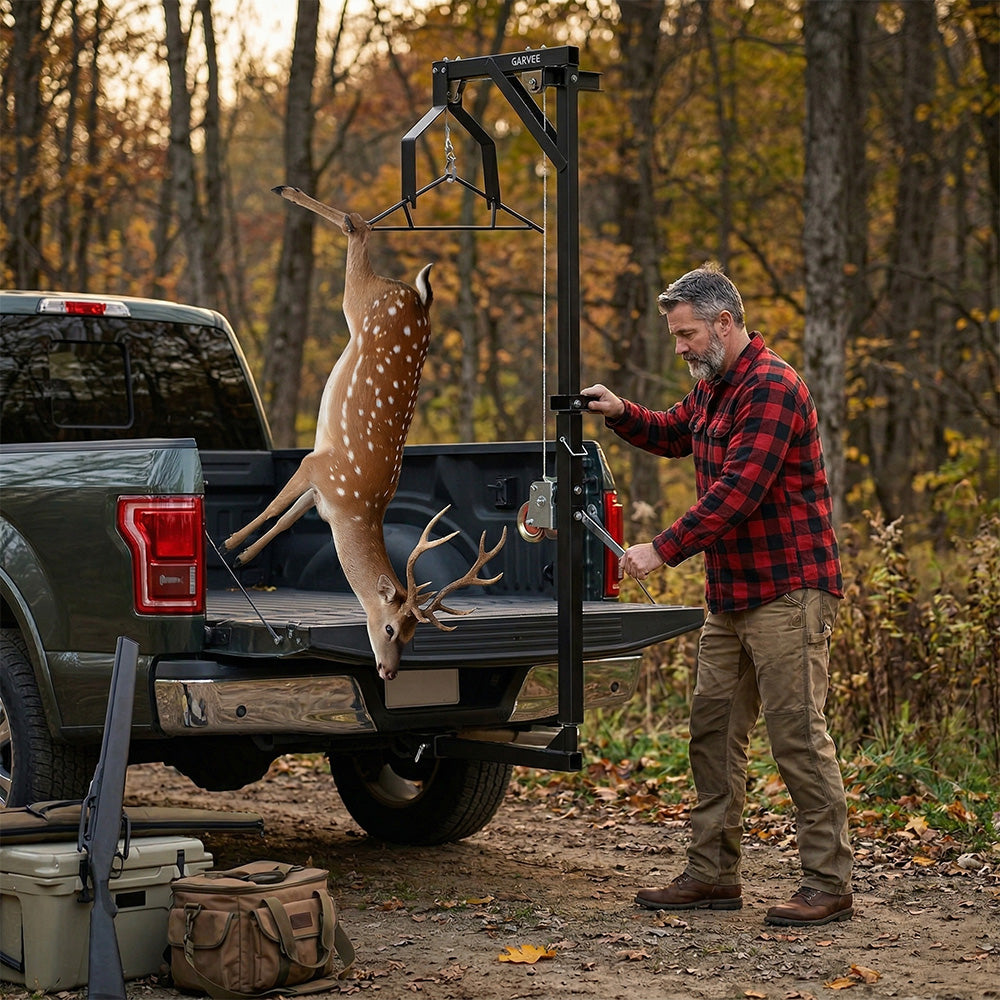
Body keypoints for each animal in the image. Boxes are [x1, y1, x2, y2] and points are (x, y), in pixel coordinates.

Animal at [223, 186, 506, 681]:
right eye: (391, 627)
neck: (354, 509)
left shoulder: (321, 489)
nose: (389, 672)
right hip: (361, 299)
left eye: (412, 637)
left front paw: (242, 556)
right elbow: (275, 509)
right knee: (357, 228)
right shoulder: (316, 466)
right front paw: (228, 545)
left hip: (364, 300)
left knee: (357, 229)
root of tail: (418, 298)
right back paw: (286, 191)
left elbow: (286, 519)